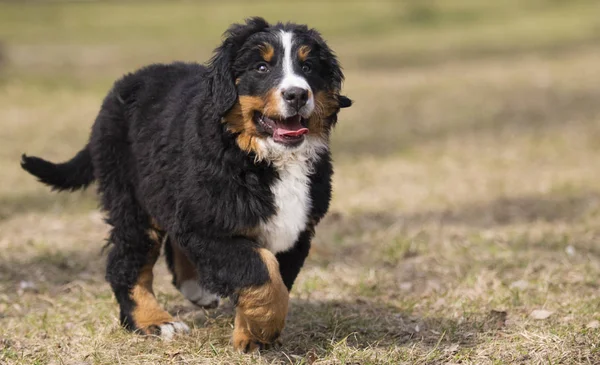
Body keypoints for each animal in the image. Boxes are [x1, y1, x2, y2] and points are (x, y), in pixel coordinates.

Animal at [19, 16, 352, 350]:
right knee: (126, 263)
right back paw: (154, 321)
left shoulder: (295, 231)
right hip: (133, 203)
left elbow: (274, 277)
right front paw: (262, 329)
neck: (262, 156)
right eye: (261, 67)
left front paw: (252, 335)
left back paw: (196, 290)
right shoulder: (209, 225)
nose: (297, 94)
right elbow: (262, 273)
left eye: (308, 67)